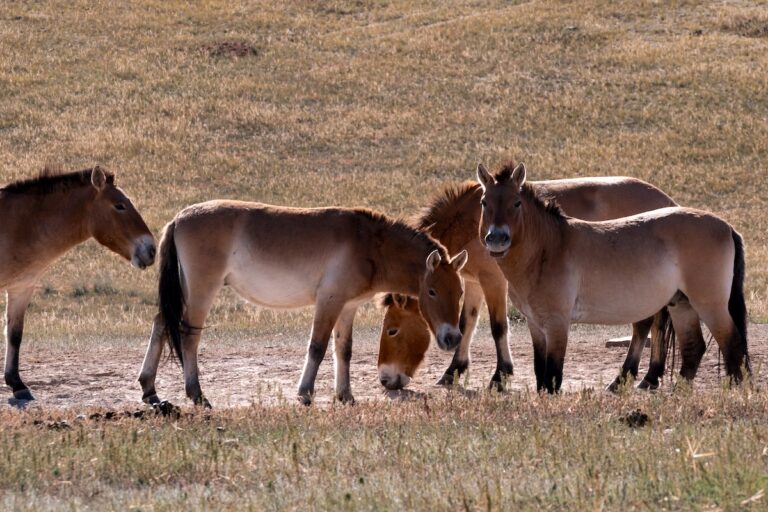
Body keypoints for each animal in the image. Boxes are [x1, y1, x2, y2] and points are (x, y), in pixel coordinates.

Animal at [0, 167, 156, 400]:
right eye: (119, 205)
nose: (151, 249)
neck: (18, 224)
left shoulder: (21, 288)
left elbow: (14, 334)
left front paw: (17, 383)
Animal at [137, 200, 468, 407]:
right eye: (433, 291)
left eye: (460, 292)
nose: (453, 338)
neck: (369, 244)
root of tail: (179, 219)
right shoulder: (329, 301)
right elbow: (318, 347)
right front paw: (305, 393)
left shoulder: (347, 307)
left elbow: (343, 351)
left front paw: (345, 396)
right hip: (201, 290)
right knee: (188, 335)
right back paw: (197, 395)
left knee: (161, 324)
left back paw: (149, 388)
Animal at [377, 176, 679, 392]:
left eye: (392, 330)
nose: (385, 380)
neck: (472, 221)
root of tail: (669, 202)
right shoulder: (472, 283)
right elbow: (466, 324)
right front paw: (453, 371)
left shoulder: (494, 282)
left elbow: (498, 327)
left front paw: (500, 376)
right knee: (656, 324)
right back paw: (650, 376)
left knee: (646, 325)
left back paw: (630, 377)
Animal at [478, 161, 748, 393]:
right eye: (484, 202)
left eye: (516, 203)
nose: (497, 239)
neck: (550, 248)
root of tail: (727, 227)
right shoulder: (535, 324)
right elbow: (540, 373)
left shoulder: (557, 323)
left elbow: (553, 376)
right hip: (681, 305)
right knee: (694, 348)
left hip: (709, 305)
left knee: (731, 343)